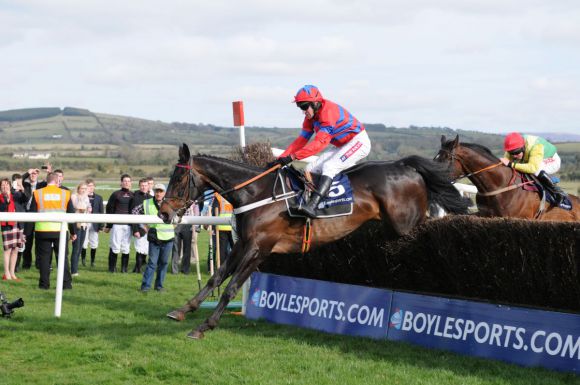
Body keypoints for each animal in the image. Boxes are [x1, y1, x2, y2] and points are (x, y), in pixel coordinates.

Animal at [159, 142, 472, 338]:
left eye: (178, 180)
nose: (163, 212)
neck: (257, 194)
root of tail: (406, 166)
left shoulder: (260, 248)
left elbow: (231, 286)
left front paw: (204, 326)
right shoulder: (243, 243)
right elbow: (216, 278)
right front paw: (183, 310)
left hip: (406, 223)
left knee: (435, 224)